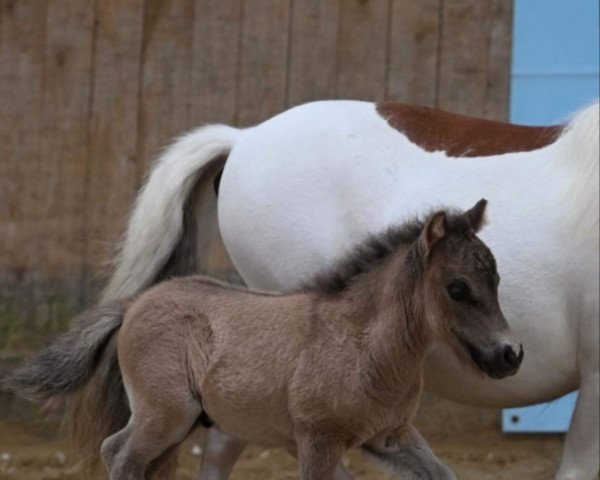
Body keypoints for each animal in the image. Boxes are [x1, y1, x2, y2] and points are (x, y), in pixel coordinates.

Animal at [3, 199, 520, 480]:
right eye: (457, 288)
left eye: (496, 279)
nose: (509, 355)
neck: (363, 345)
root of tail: (133, 304)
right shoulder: (317, 440)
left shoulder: (389, 437)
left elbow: (444, 473)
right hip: (167, 414)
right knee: (119, 453)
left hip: (178, 423)